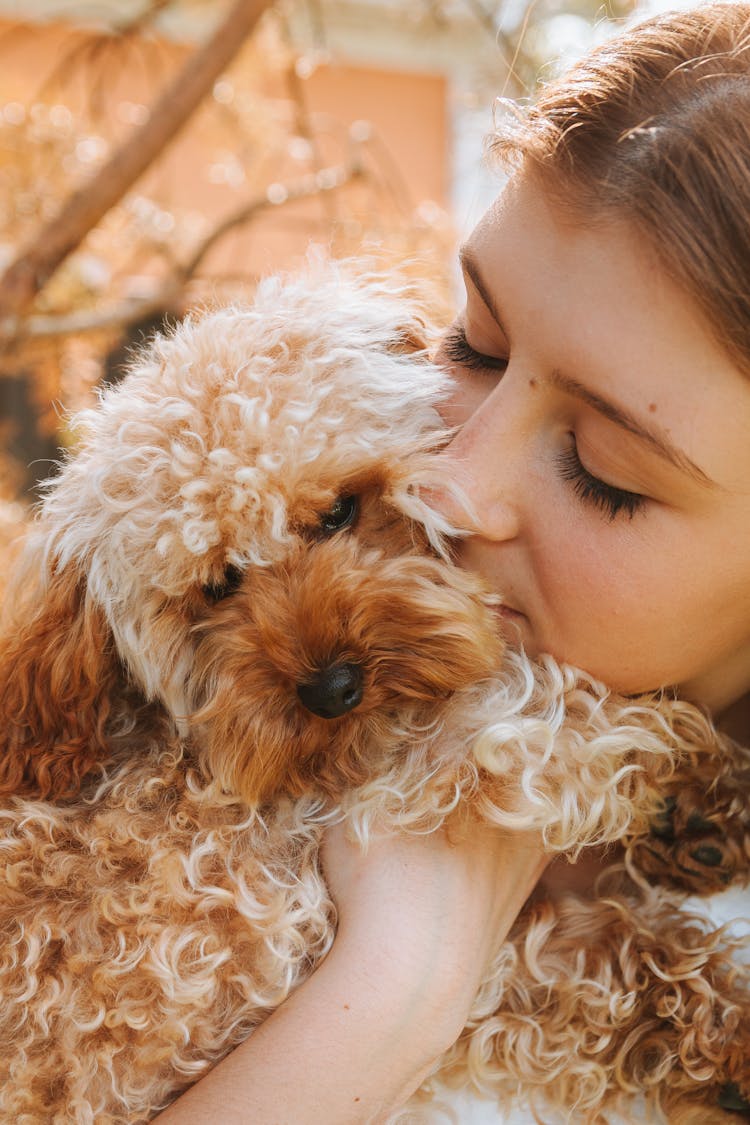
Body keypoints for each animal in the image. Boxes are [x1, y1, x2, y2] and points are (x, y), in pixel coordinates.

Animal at [0, 258, 746, 1120]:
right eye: (217, 586)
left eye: (339, 510)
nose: (332, 687)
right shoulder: (357, 812)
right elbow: (540, 713)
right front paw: (693, 778)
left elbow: (583, 974)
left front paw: (702, 829)